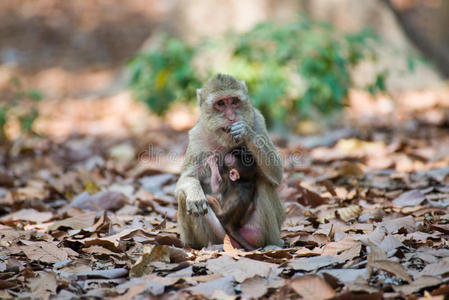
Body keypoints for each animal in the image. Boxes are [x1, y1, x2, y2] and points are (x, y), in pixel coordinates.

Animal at [175, 73, 284, 248]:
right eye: (220, 103)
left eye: (234, 101)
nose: (232, 117)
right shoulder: (197, 136)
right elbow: (186, 179)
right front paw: (194, 192)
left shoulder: (258, 121)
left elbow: (277, 173)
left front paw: (245, 131)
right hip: (218, 235)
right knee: (184, 197)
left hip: (254, 232)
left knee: (264, 183)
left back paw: (272, 244)